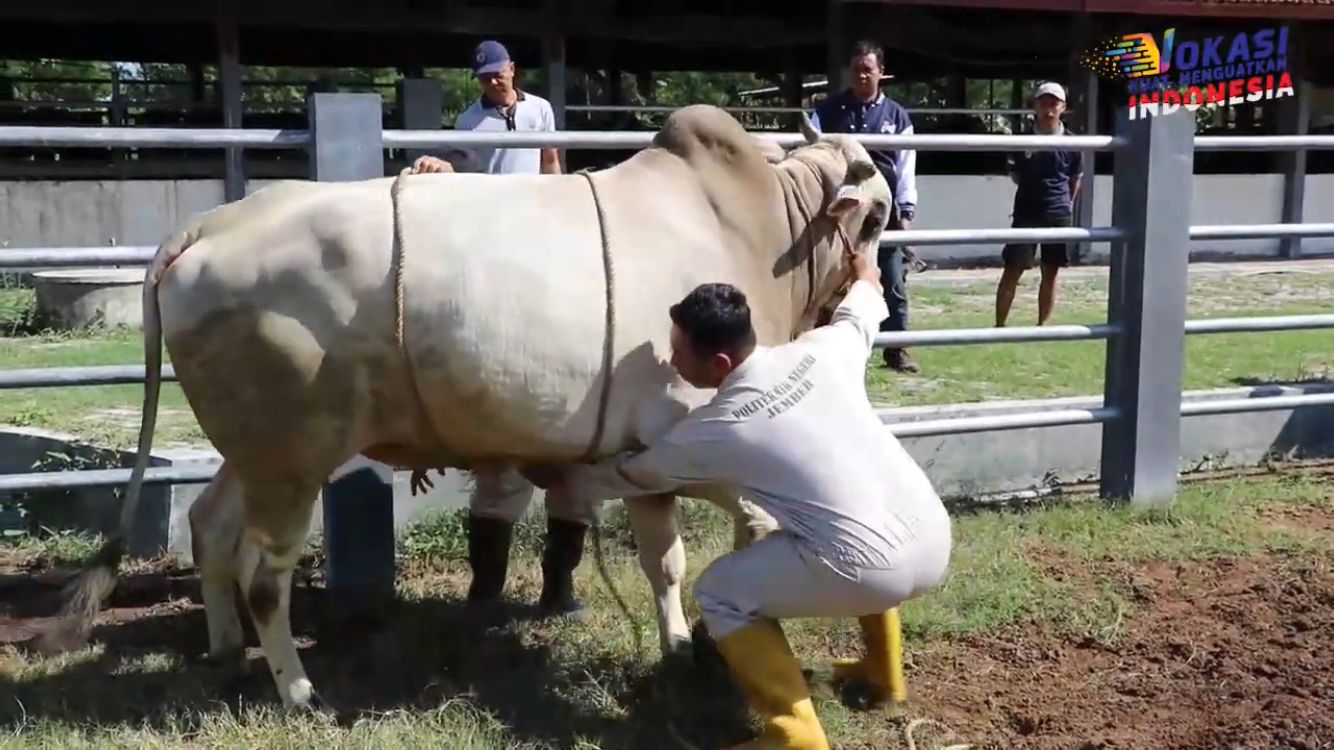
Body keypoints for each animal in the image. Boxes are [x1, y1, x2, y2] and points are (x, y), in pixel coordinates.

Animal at [47, 103, 891, 704]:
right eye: (879, 217)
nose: (875, 290)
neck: (760, 227)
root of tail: (209, 224)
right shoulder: (685, 439)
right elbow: (740, 531)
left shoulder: (642, 461)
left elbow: (666, 563)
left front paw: (681, 648)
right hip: (292, 460)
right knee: (265, 576)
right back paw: (299, 690)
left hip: (253, 451)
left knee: (209, 527)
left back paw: (226, 651)